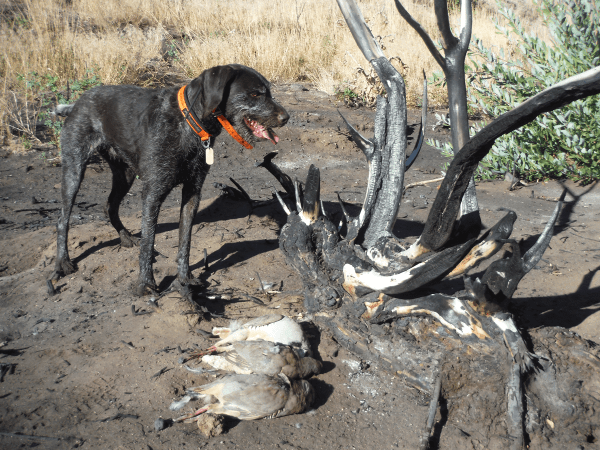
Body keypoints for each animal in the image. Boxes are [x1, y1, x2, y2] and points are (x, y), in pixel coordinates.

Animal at [50, 63, 290, 296]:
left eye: (268, 92)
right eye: (255, 94)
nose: (286, 118)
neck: (189, 123)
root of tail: (76, 103)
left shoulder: (193, 191)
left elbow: (185, 241)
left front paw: (184, 278)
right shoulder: (153, 193)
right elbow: (149, 241)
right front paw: (145, 283)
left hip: (125, 174)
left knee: (109, 206)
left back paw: (125, 238)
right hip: (74, 168)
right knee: (62, 219)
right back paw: (63, 262)